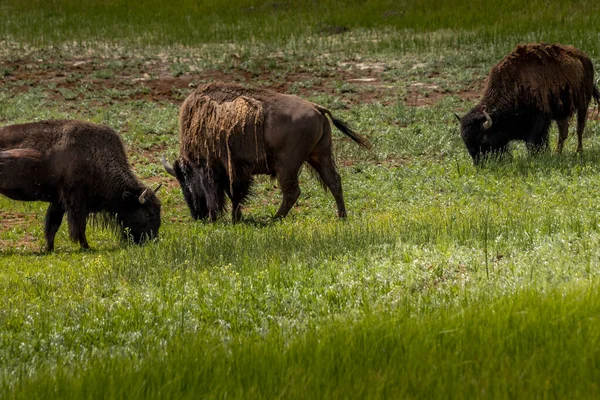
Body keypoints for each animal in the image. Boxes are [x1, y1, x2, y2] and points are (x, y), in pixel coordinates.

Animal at [0, 119, 162, 250]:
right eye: (149, 214)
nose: (152, 240)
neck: (96, 155)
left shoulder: (58, 202)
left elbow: (52, 226)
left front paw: (49, 249)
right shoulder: (75, 201)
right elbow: (79, 226)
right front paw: (86, 247)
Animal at [164, 81, 370, 222]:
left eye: (188, 181)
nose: (198, 215)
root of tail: (317, 108)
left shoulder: (229, 168)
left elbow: (234, 193)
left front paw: (235, 219)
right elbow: (236, 195)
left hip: (287, 165)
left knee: (292, 192)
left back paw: (274, 219)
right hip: (319, 157)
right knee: (333, 182)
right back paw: (341, 217)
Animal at [454, 43, 600, 163]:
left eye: (483, 139)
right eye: (465, 141)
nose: (479, 163)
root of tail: (585, 58)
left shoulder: (540, 120)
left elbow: (532, 143)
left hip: (583, 104)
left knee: (579, 128)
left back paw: (578, 151)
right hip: (561, 112)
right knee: (563, 131)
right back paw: (558, 152)